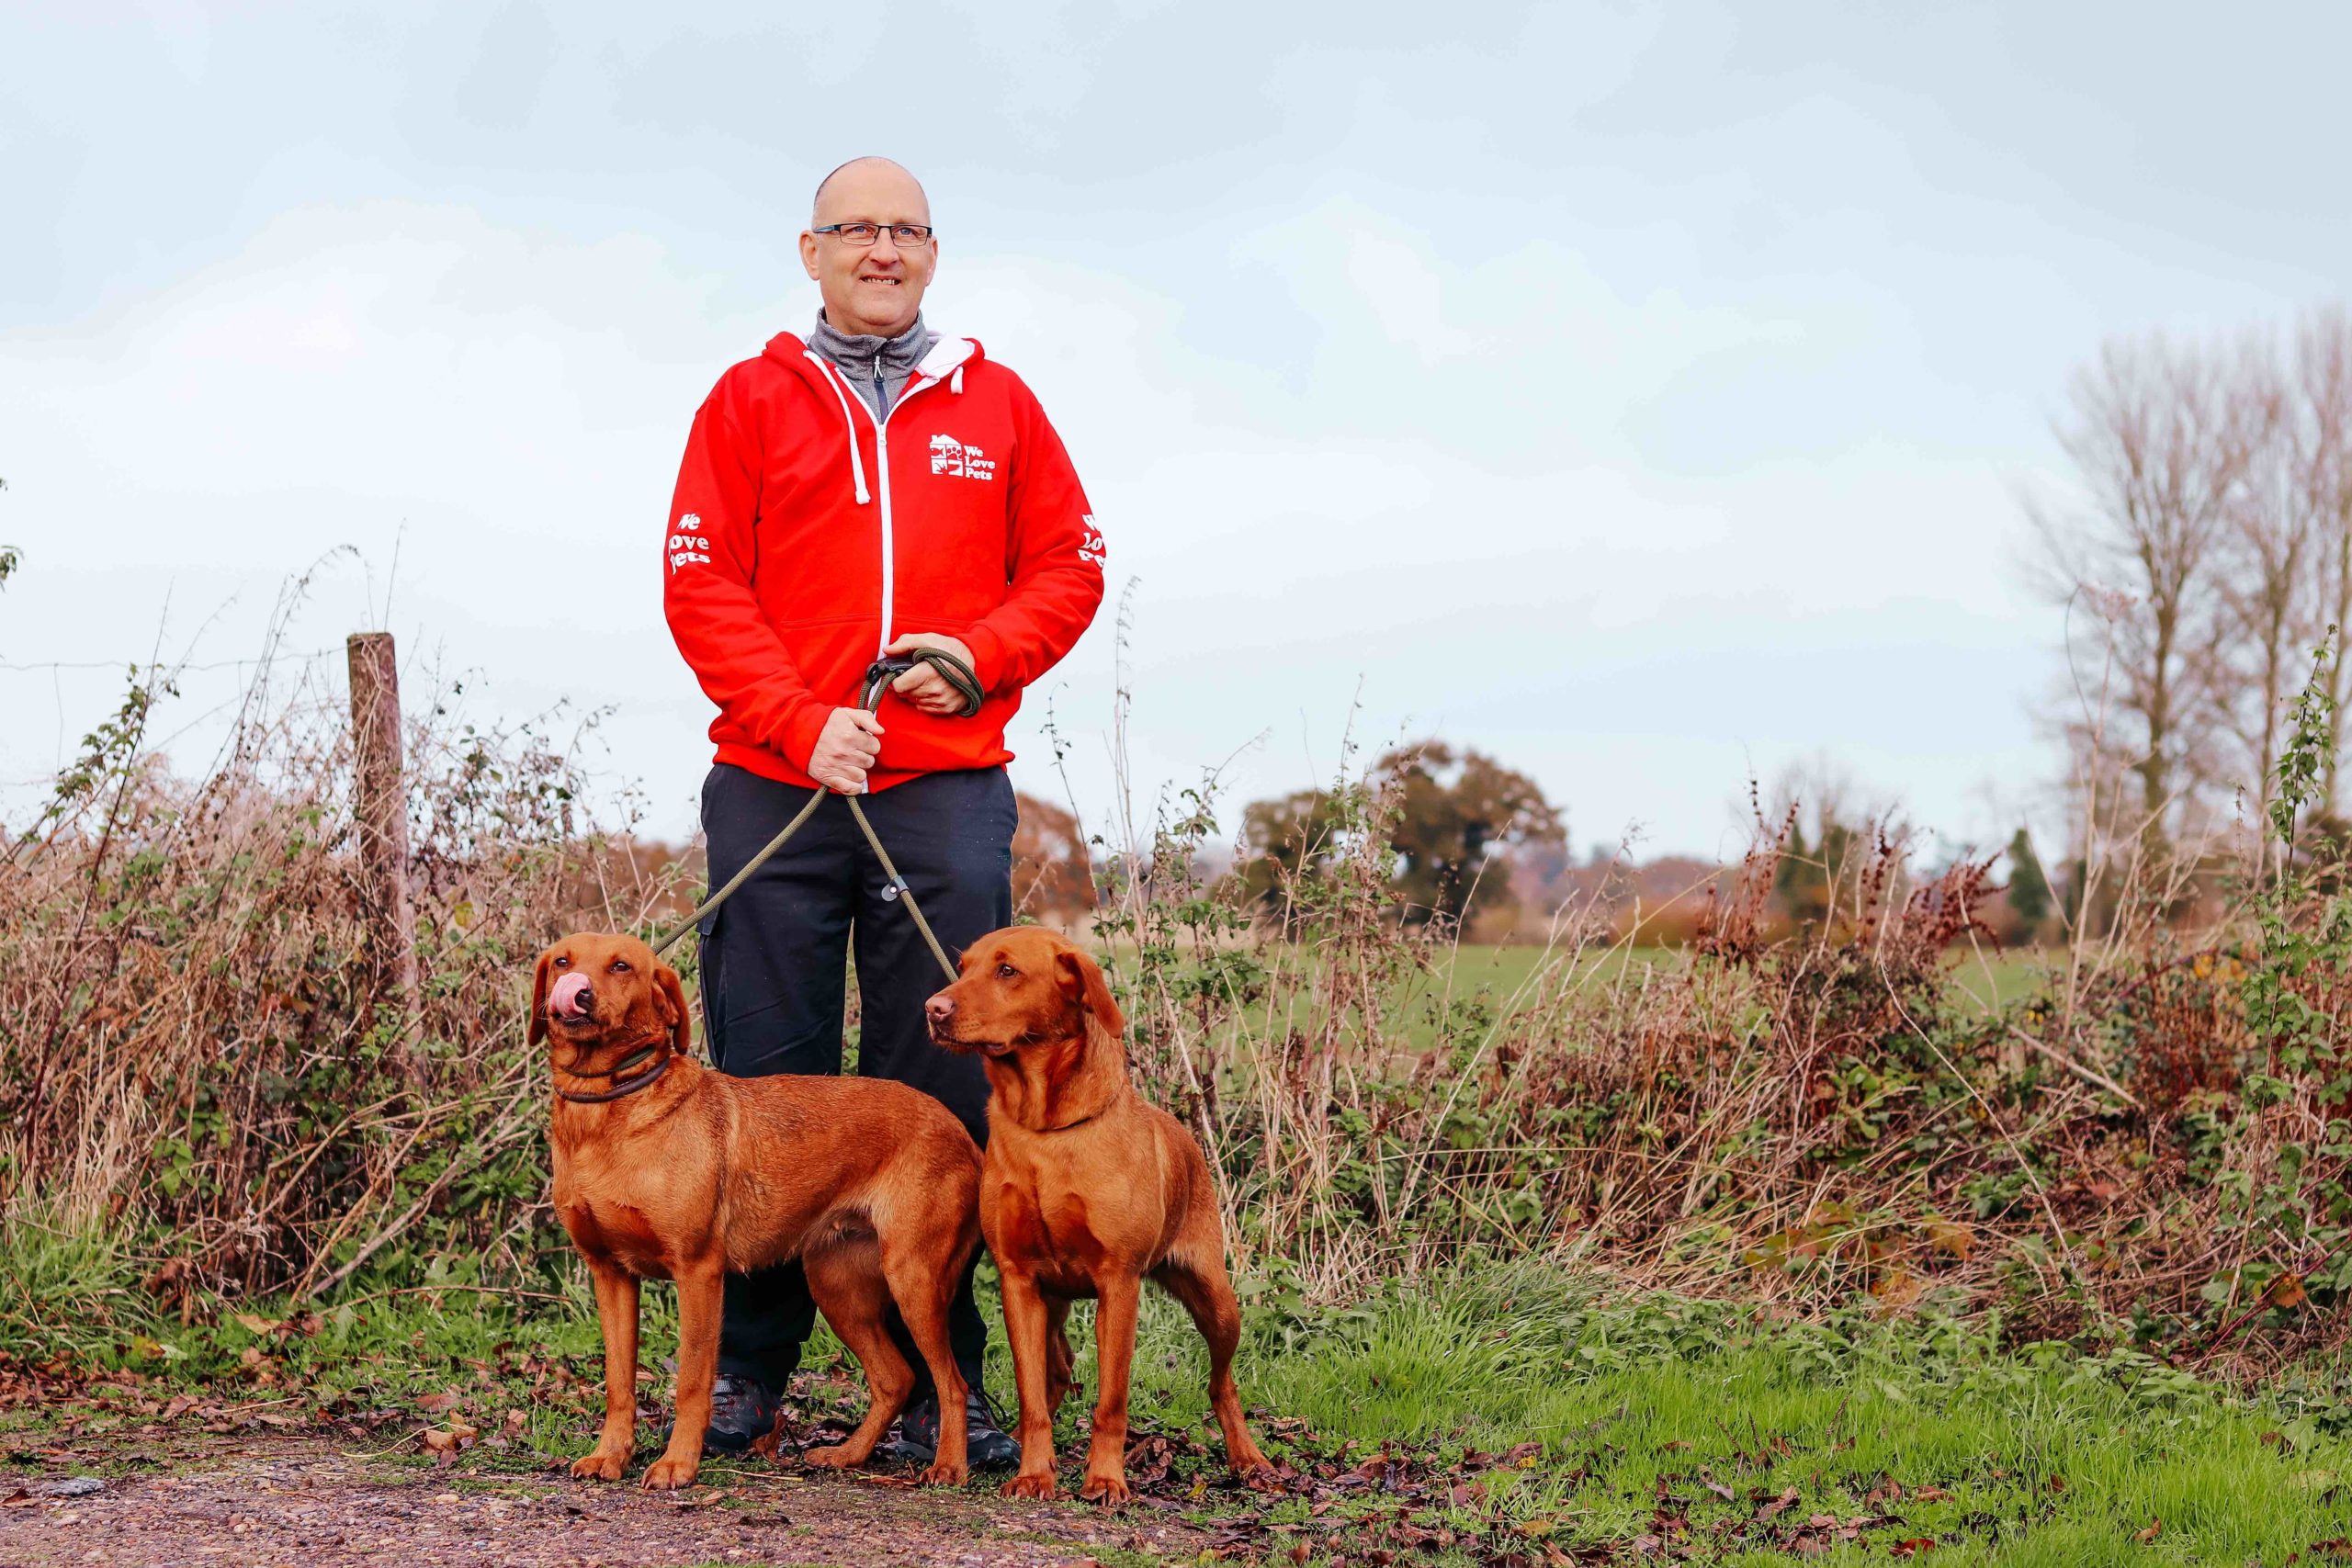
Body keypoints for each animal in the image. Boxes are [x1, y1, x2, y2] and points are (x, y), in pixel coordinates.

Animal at [536, 931, 983, 1495]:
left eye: (620, 966)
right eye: (562, 962)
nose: (578, 991)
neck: (607, 1113)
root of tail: (964, 1134)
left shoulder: (698, 1273)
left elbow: (692, 1382)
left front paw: (679, 1464)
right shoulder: (610, 1275)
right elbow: (619, 1384)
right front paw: (610, 1456)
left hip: (914, 1279)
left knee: (952, 1381)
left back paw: (950, 1464)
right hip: (838, 1288)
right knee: (895, 1377)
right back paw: (849, 1454)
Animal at [926, 926, 1279, 1504]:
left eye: (1007, 970)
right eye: (963, 967)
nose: (934, 1008)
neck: (1045, 1129)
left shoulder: (1119, 1283)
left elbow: (1112, 1400)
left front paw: (1108, 1478)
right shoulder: (1019, 1283)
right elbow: (1031, 1396)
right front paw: (1034, 1473)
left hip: (1216, 1300)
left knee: (1222, 1383)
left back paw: (1249, 1459)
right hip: (1052, 1304)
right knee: (1054, 1373)